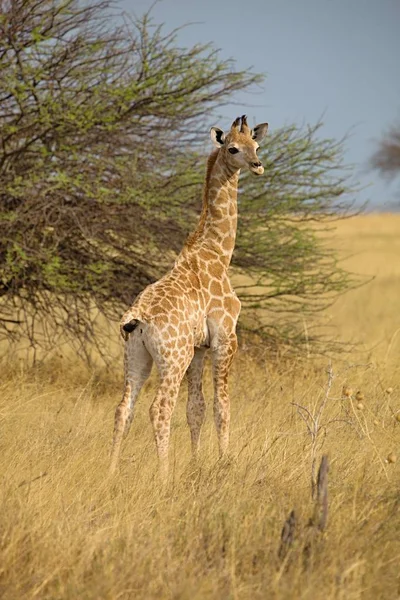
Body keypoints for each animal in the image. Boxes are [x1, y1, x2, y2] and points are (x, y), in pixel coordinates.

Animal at [109, 115, 268, 480]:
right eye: (233, 148)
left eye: (257, 144)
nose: (258, 165)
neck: (217, 254)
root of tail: (137, 319)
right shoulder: (225, 338)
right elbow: (222, 406)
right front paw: (225, 462)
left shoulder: (199, 348)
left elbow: (196, 408)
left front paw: (197, 463)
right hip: (173, 357)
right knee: (159, 408)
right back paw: (163, 477)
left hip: (137, 356)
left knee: (124, 409)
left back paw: (109, 473)